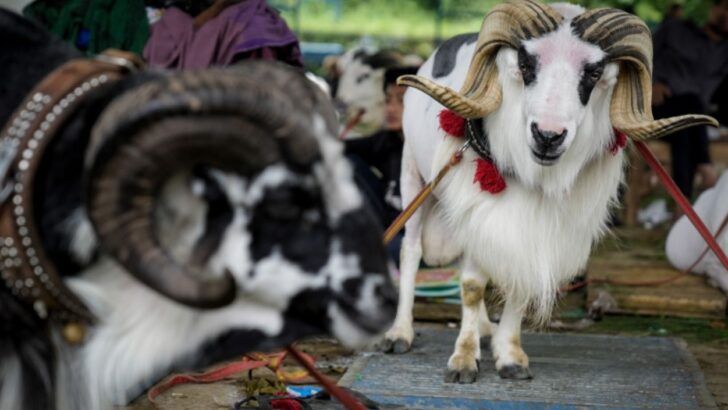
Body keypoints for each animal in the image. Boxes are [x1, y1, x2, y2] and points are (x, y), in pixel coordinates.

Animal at [382, 0, 716, 382]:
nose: (548, 136)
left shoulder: (535, 232)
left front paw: (510, 358)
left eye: (594, 72)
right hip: (414, 178)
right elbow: (471, 286)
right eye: (526, 63)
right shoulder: (476, 209)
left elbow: (520, 284)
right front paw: (464, 361)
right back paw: (400, 334)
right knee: (411, 250)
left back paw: (485, 329)